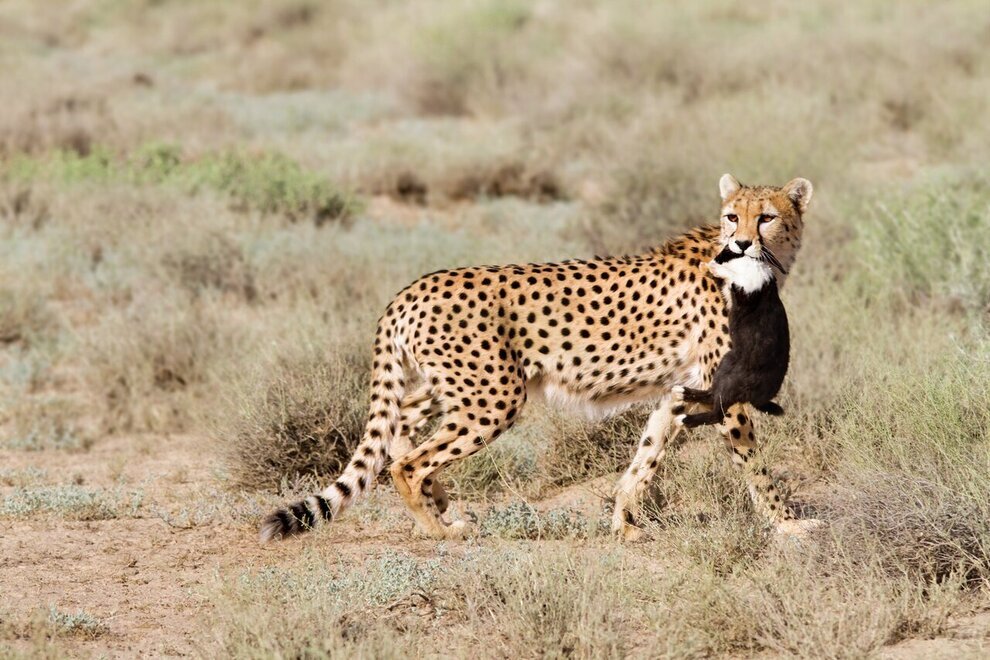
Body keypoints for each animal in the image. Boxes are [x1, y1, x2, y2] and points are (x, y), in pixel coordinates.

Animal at [260, 174, 816, 540]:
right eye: (733, 216)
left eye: (767, 217)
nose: (740, 242)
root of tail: (415, 286)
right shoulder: (728, 391)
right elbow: (754, 464)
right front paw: (786, 523)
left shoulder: (679, 388)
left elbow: (647, 455)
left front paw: (624, 523)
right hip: (492, 397)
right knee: (408, 463)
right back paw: (439, 529)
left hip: (455, 387)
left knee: (399, 430)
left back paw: (443, 506)